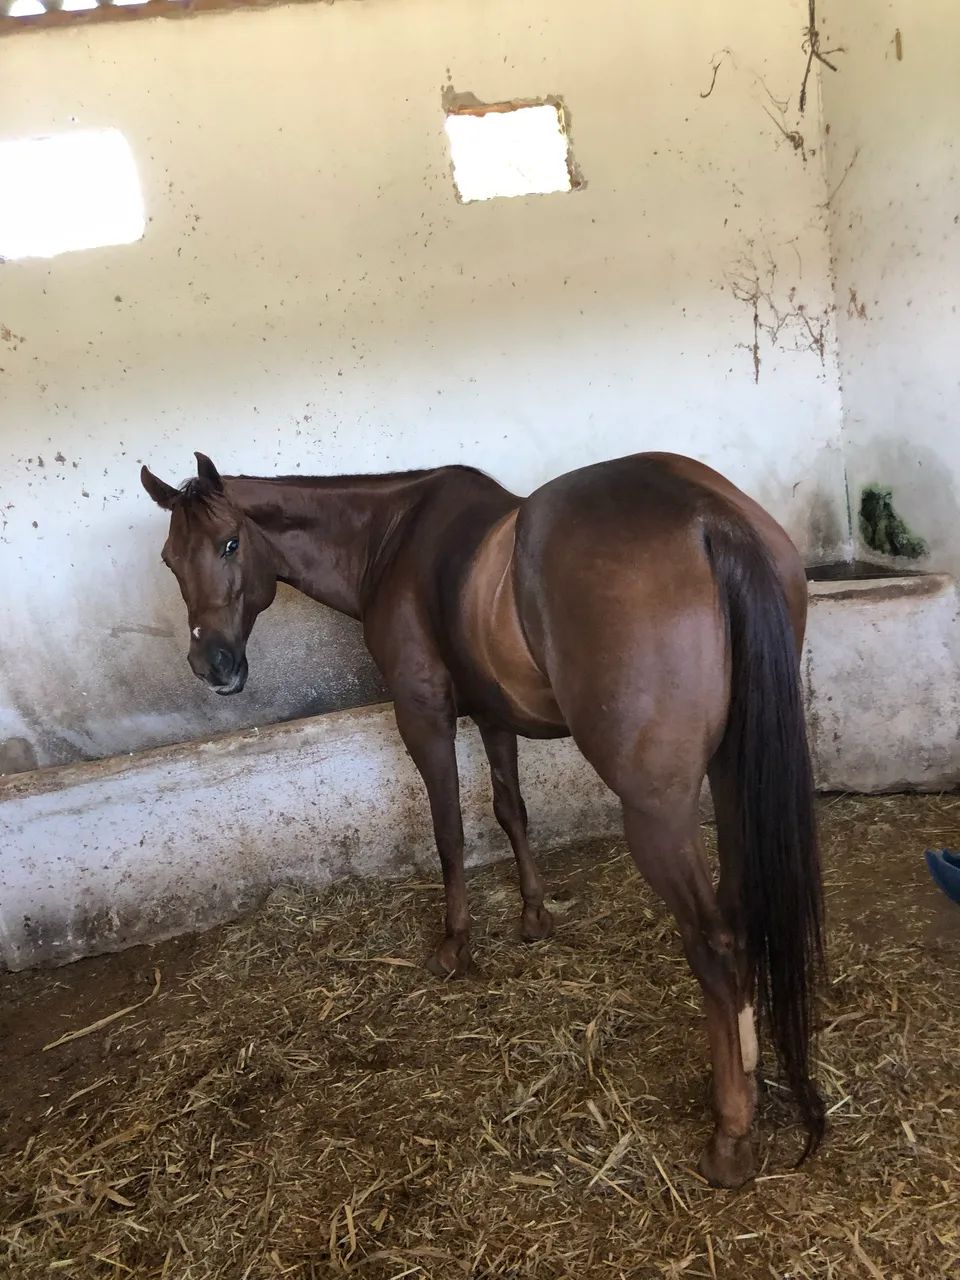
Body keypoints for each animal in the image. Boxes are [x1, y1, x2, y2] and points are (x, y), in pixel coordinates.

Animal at [140, 450, 824, 1188]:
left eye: (230, 543)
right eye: (171, 558)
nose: (212, 664)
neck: (392, 538)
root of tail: (709, 517)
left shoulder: (424, 718)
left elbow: (449, 832)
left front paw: (455, 944)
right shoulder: (496, 719)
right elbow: (510, 812)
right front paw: (533, 915)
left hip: (657, 814)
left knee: (715, 942)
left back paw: (731, 1129)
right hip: (731, 774)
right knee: (742, 912)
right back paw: (751, 1072)